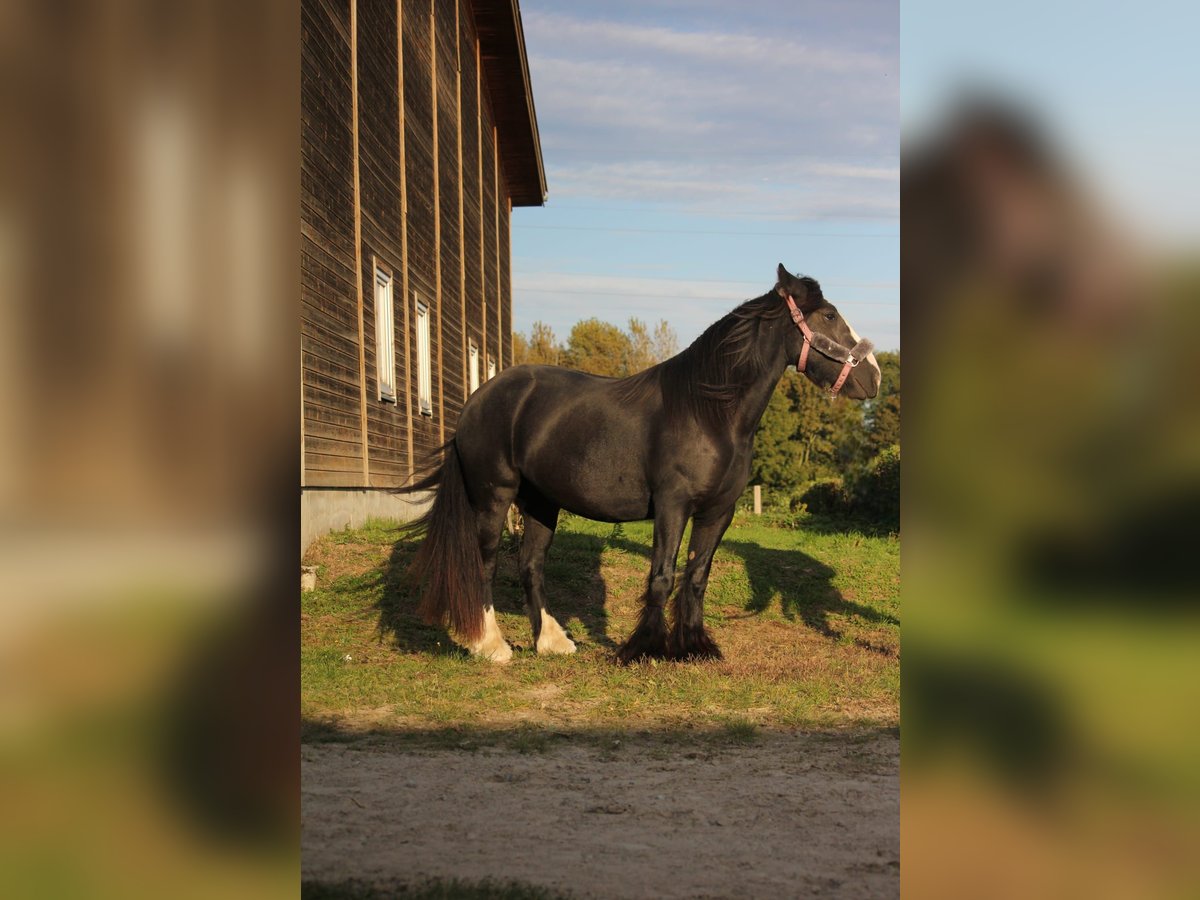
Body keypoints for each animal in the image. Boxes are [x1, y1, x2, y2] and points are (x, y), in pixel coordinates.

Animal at [398, 264, 878, 667]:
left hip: (541, 502)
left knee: (530, 565)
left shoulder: (718, 511)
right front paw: (642, 649)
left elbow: (697, 576)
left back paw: (552, 642)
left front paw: (694, 647)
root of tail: (479, 398)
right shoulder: (672, 505)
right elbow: (662, 576)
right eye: (830, 315)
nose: (872, 376)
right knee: (486, 564)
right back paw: (491, 645)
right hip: (494, 496)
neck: (709, 412)